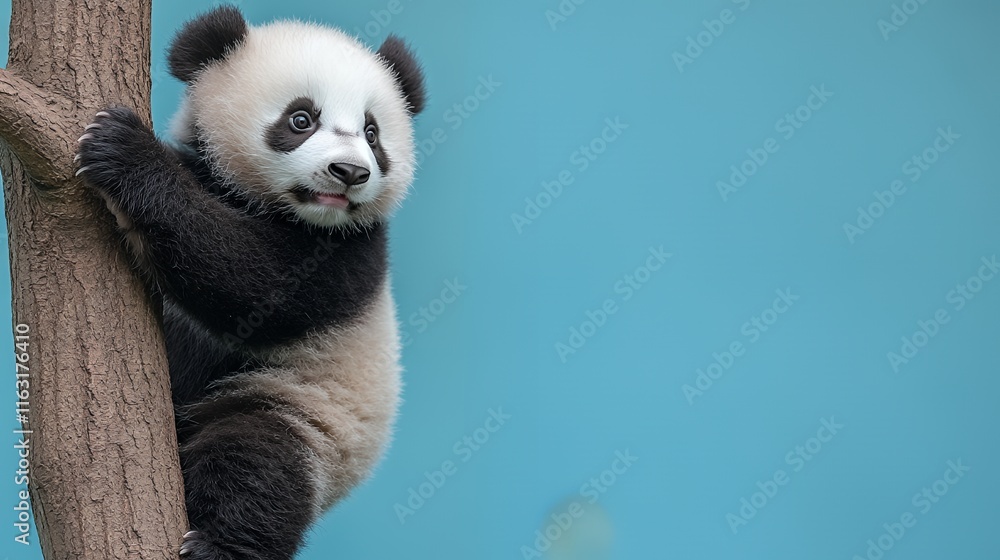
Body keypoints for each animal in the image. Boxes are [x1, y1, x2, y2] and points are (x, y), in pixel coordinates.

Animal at [75, 6, 426, 559]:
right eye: (301, 119)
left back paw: (220, 544)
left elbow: (252, 283)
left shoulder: (352, 254)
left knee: (257, 463)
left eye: (372, 133)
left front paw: (123, 150)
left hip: (301, 411)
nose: (349, 172)